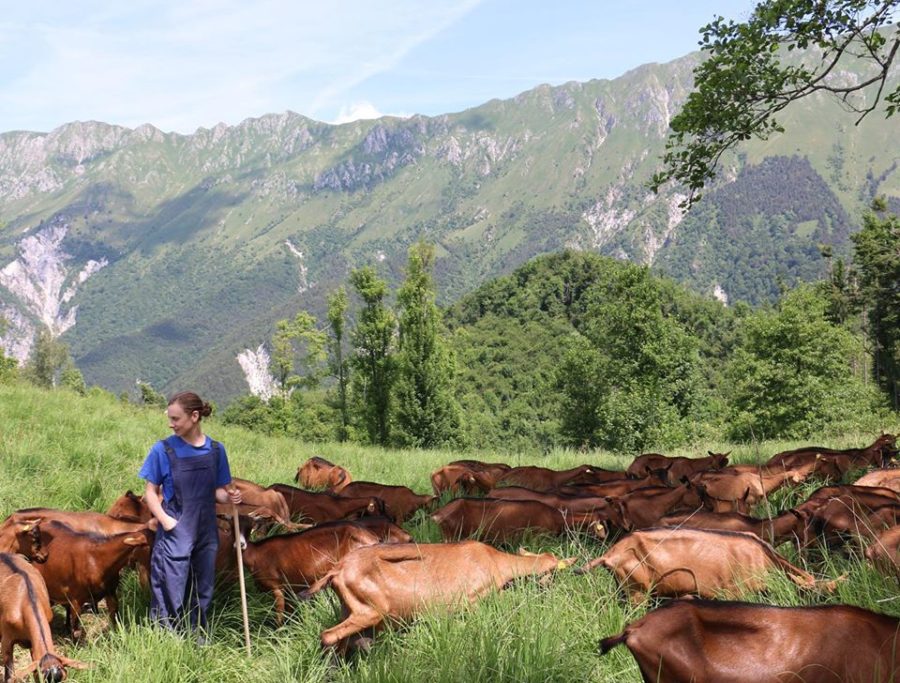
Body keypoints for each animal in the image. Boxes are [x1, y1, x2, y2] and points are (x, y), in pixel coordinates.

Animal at [298, 544, 572, 652]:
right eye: (553, 574)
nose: (550, 592)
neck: (495, 561)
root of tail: (338, 569)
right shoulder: (471, 601)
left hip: (351, 610)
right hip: (370, 611)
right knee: (328, 637)